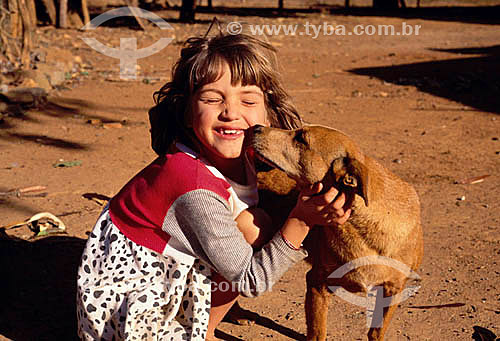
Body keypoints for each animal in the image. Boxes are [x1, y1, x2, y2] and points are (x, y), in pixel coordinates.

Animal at [252, 125, 424, 340]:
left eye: (301, 139)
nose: (256, 127)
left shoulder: (394, 288)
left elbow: (376, 332)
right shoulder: (317, 282)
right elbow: (317, 333)